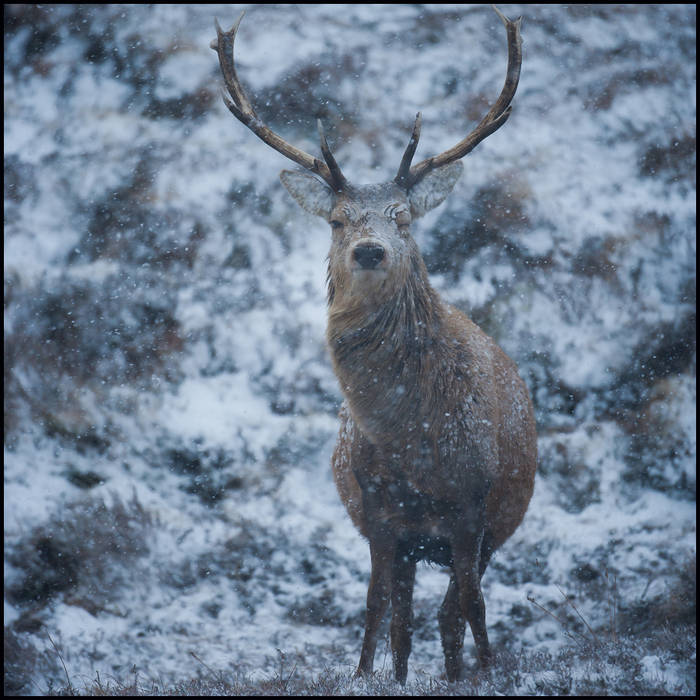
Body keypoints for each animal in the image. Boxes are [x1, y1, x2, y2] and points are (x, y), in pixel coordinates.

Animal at [211, 5, 537, 684]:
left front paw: (490, 674)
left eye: (403, 217)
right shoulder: (380, 517)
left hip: (492, 528)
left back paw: (462, 671)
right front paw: (365, 677)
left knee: (451, 612)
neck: (415, 447)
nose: (369, 249)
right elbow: (376, 609)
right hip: (413, 542)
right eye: (338, 220)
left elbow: (473, 606)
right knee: (406, 616)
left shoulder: (473, 507)